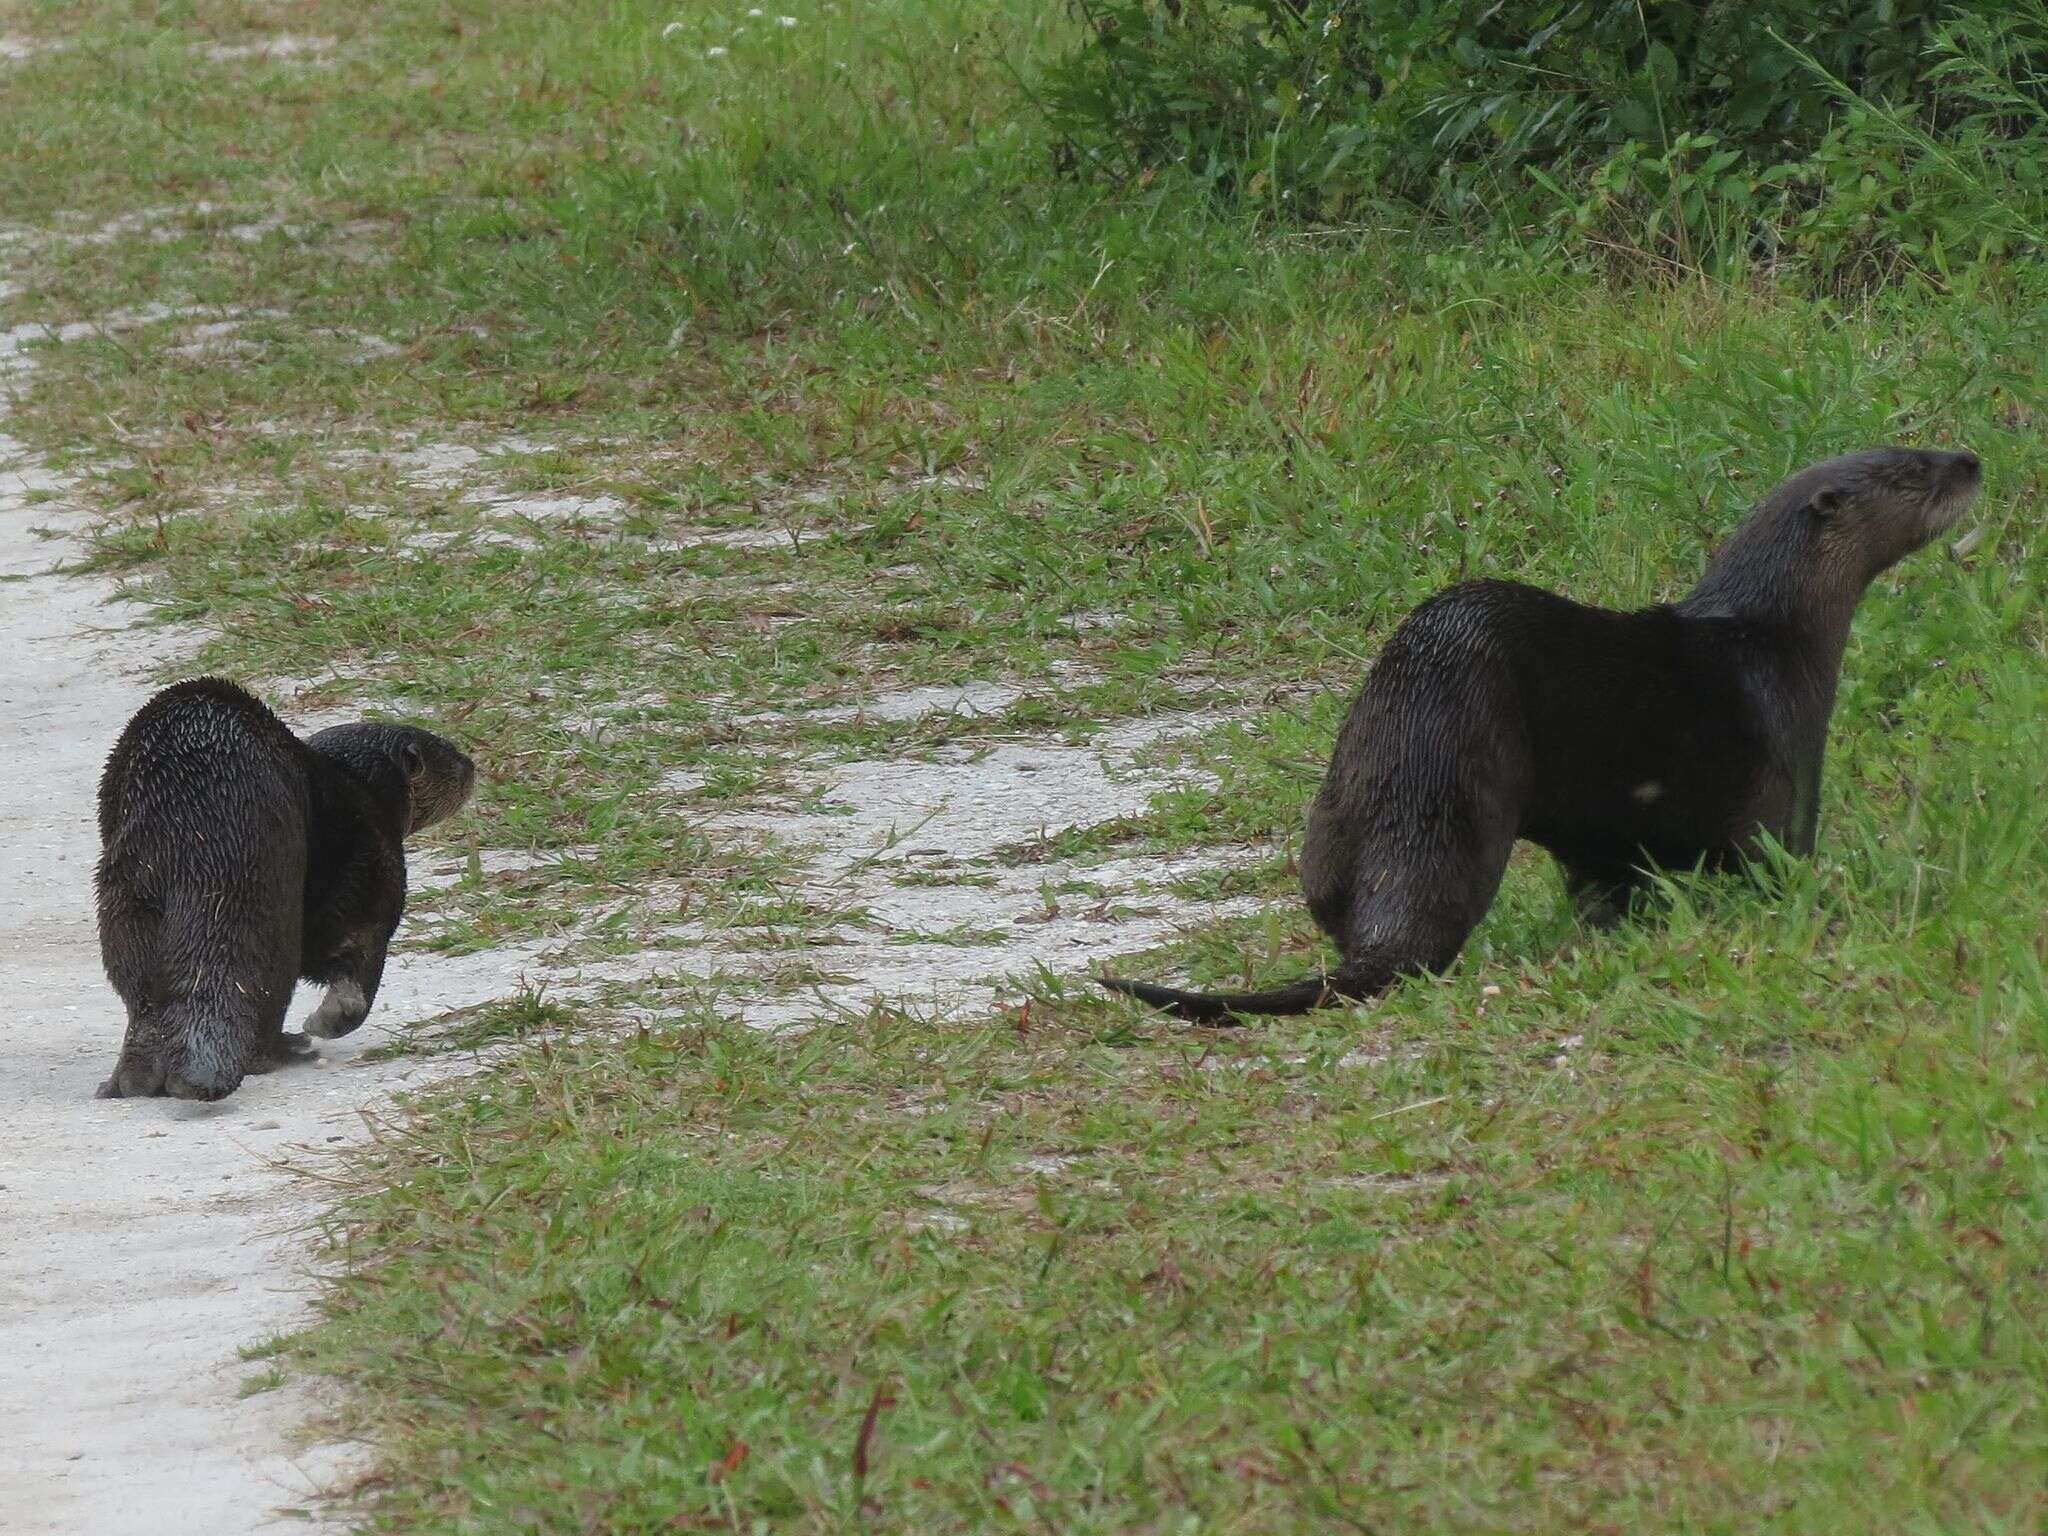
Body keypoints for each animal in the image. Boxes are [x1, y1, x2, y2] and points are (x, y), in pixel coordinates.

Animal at [96, 679, 475, 1097]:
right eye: (450, 756)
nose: (473, 766)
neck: (357, 783)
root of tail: (202, 840)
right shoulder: (375, 851)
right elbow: (358, 947)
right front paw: (328, 1020)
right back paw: (290, 1048)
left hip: (127, 898)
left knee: (142, 996)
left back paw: (125, 1082)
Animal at [1105, 444, 1982, 1024]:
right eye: (1914, 469)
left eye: (1918, 442)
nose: (1971, 458)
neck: (1773, 638)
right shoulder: (1785, 762)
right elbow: (1778, 861)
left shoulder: (1607, 834)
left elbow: (1604, 880)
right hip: (1458, 780)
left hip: (1339, 801)